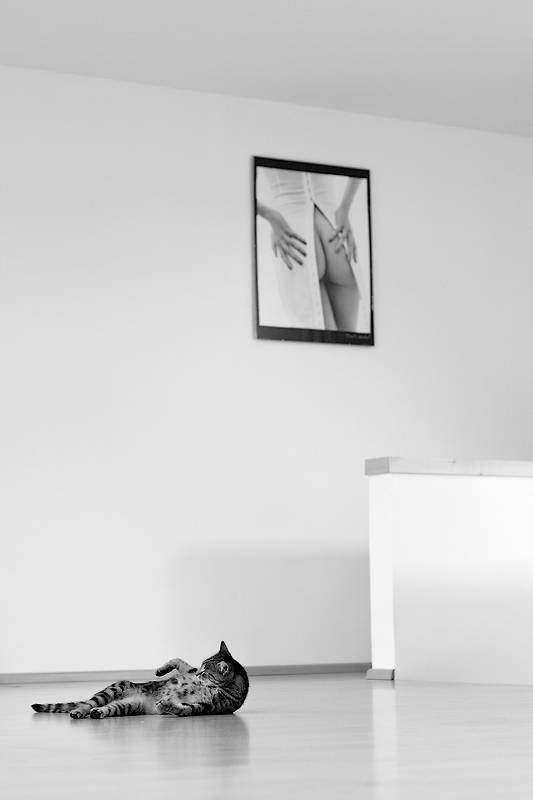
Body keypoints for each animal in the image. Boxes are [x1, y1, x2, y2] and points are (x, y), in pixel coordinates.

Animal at [31, 641, 249, 719]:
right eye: (201, 668)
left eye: (205, 672)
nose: (198, 675)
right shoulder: (187, 670)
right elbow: (178, 660)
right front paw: (160, 671)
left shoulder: (205, 707)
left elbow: (183, 709)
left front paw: (166, 704)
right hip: (116, 687)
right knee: (88, 702)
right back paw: (79, 711)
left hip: (126, 706)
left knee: (103, 708)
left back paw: (96, 713)